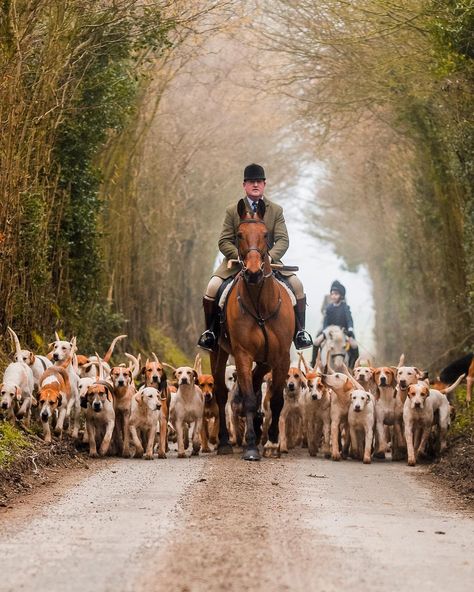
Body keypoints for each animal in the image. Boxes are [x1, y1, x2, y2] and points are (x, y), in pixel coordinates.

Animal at [210, 198, 294, 458]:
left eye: (266, 234)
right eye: (239, 234)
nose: (255, 273)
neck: (260, 304)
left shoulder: (281, 356)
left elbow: (276, 399)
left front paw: (272, 443)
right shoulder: (242, 354)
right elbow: (247, 398)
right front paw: (250, 446)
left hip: (266, 358)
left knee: (258, 384)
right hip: (218, 352)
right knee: (221, 392)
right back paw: (225, 442)